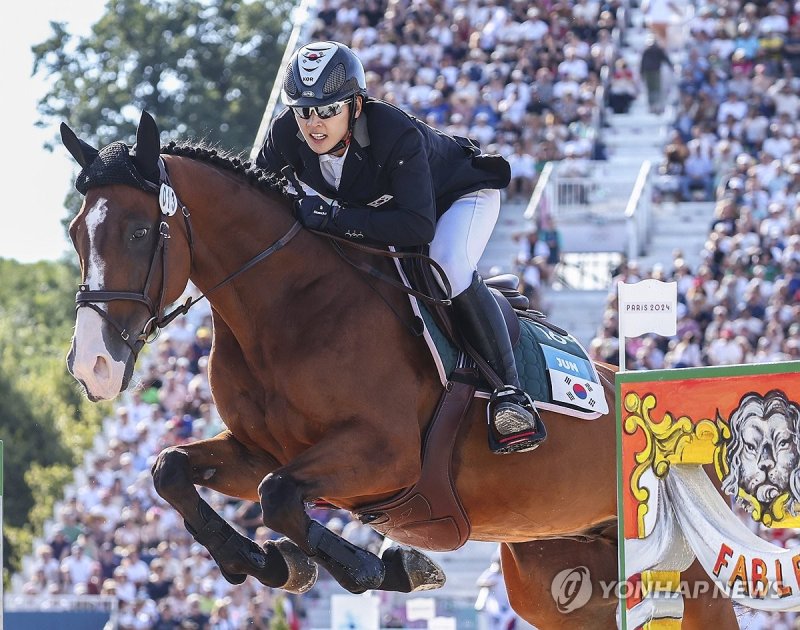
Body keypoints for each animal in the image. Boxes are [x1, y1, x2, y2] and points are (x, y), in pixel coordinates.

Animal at [61, 113, 736, 630]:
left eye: (141, 231)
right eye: (74, 233)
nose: (94, 366)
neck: (285, 308)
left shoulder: (386, 456)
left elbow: (277, 496)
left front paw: (382, 566)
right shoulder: (259, 451)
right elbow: (173, 470)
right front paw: (269, 563)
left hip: (690, 577)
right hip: (560, 580)